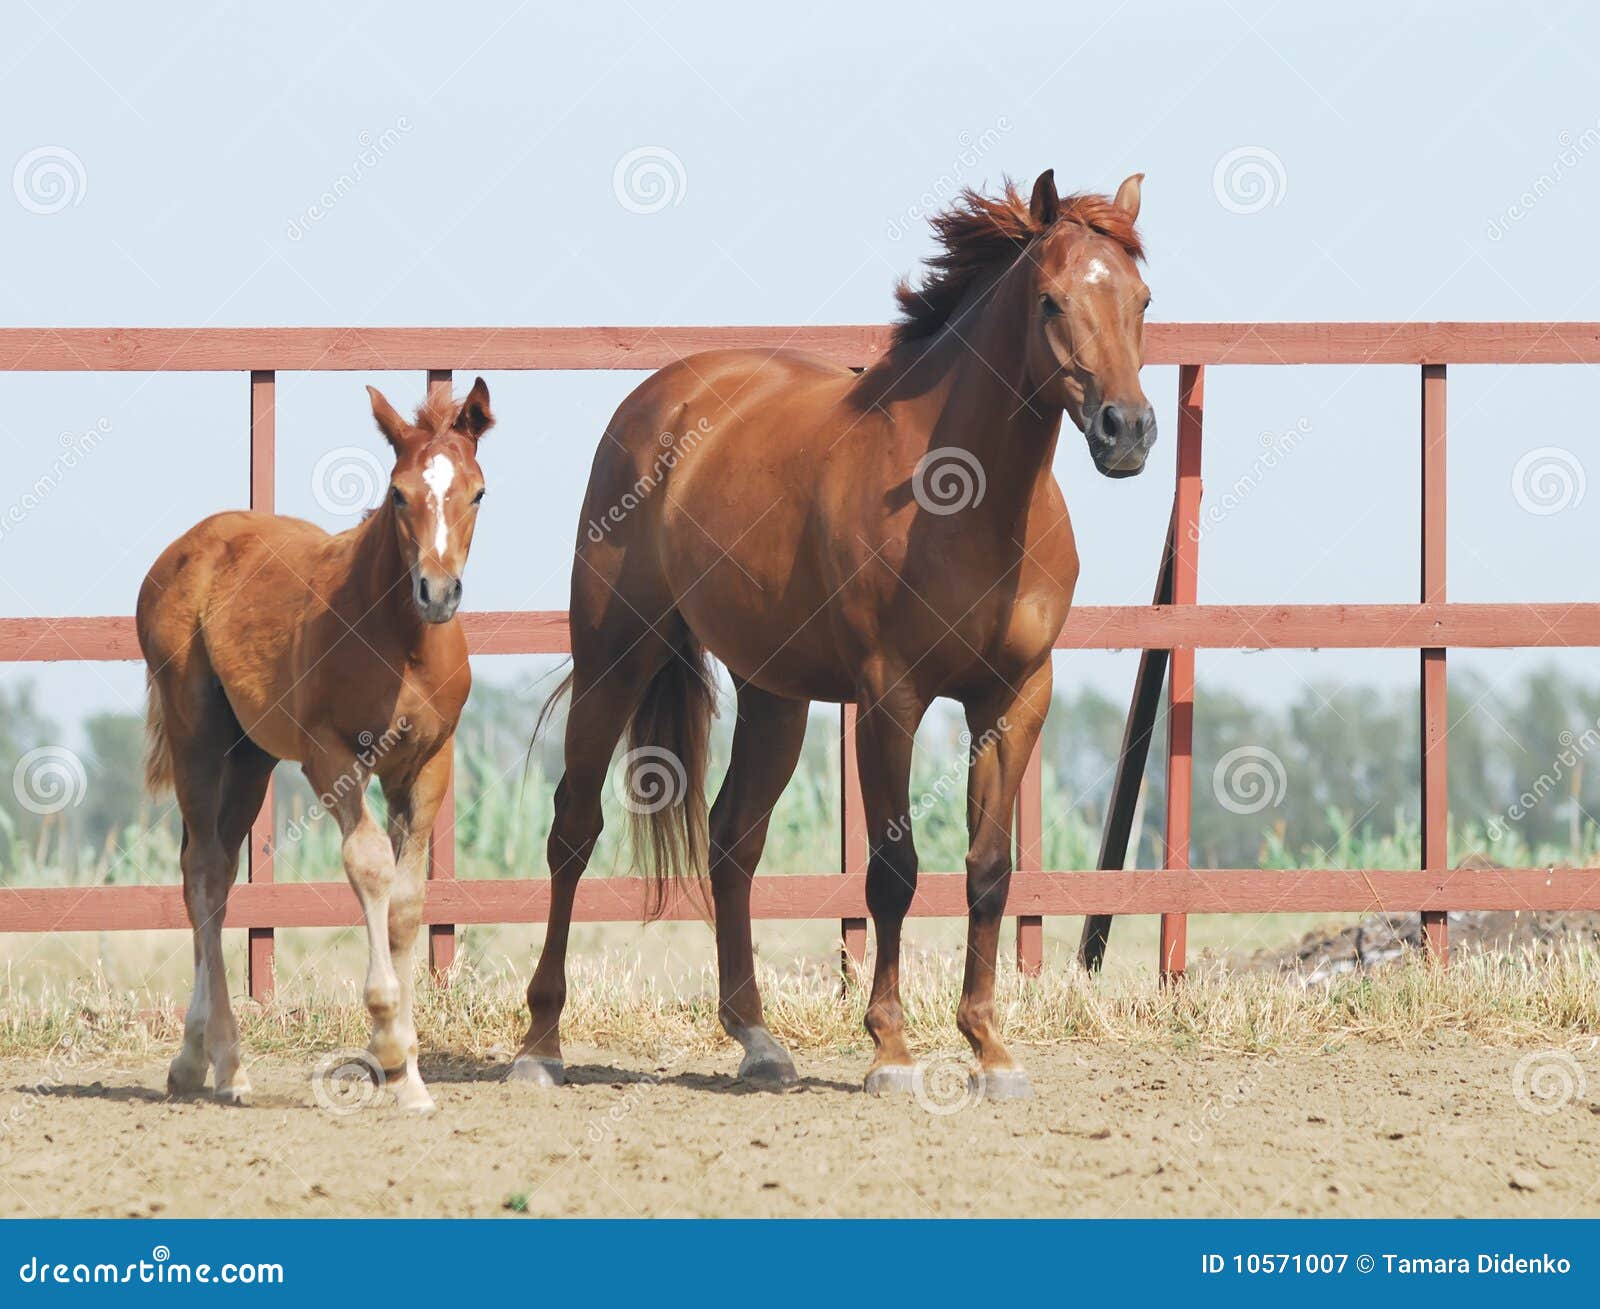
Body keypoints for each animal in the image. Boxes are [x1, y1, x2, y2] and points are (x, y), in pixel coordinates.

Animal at [140, 372, 496, 1107]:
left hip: (250, 756)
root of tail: (185, 548)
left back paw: (205, 1060)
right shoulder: (330, 756)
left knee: (215, 871)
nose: (437, 591)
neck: (401, 640)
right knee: (203, 872)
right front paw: (386, 1042)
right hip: (198, 738)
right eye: (399, 493)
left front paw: (412, 1078)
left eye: (478, 491)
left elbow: (408, 898)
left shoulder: (428, 762)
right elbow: (370, 864)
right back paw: (221, 1062)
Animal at [518, 171, 1158, 1094]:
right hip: (615, 656)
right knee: (573, 830)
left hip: (773, 695)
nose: (1127, 430)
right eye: (1050, 300)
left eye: (1142, 299)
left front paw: (990, 1047)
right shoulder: (892, 698)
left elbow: (988, 871)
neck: (967, 496)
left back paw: (756, 1039)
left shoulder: (1014, 698)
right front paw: (891, 1049)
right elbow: (894, 872)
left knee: (732, 841)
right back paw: (541, 1045)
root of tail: (656, 401)